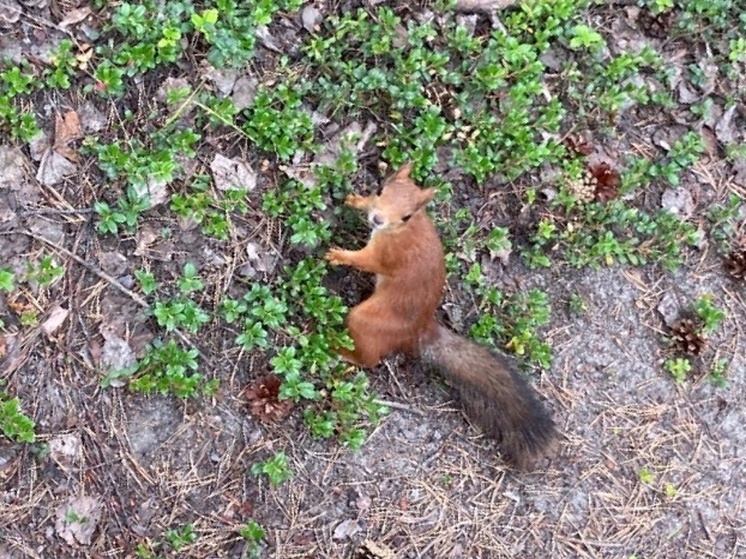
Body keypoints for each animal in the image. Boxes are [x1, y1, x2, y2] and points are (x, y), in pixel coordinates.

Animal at [326, 162, 560, 468]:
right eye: (380, 190)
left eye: (406, 215)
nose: (376, 219)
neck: (402, 231)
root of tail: (420, 331)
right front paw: (356, 200)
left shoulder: (388, 255)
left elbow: (367, 261)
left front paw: (339, 255)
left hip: (366, 320)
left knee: (369, 359)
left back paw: (340, 350)